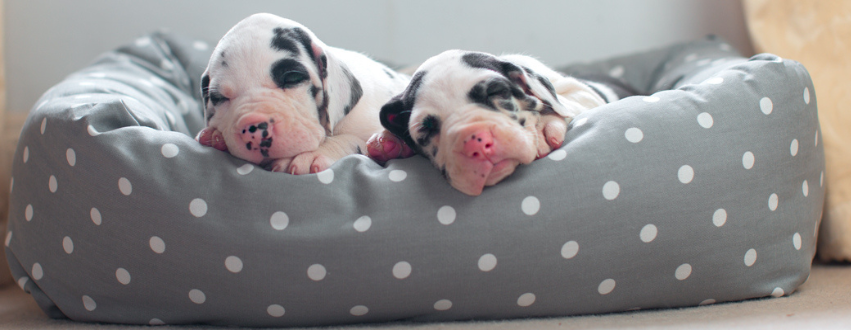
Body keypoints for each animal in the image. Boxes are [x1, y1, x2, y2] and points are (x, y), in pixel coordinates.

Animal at [201, 14, 412, 174]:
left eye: (292, 78)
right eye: (219, 98)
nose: (253, 127)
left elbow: (353, 140)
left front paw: (313, 154)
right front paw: (215, 137)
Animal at [370, 49, 636, 196]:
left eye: (495, 92)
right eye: (426, 128)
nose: (476, 143)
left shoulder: (582, 92)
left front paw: (542, 127)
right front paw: (389, 142)